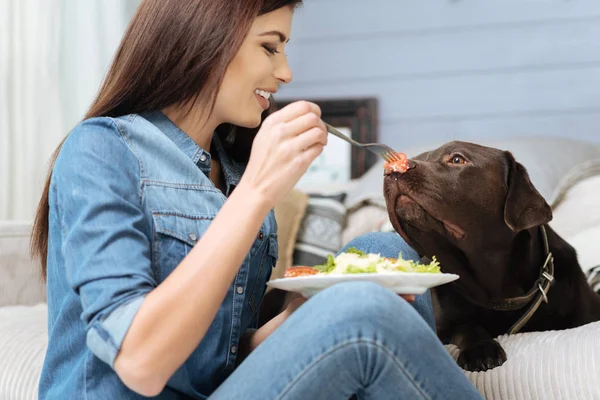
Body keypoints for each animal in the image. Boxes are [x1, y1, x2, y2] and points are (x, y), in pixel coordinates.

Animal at [382, 141, 600, 372]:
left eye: (457, 159)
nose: (389, 169)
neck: (498, 294)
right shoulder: (441, 327)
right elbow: (466, 325)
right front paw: (481, 349)